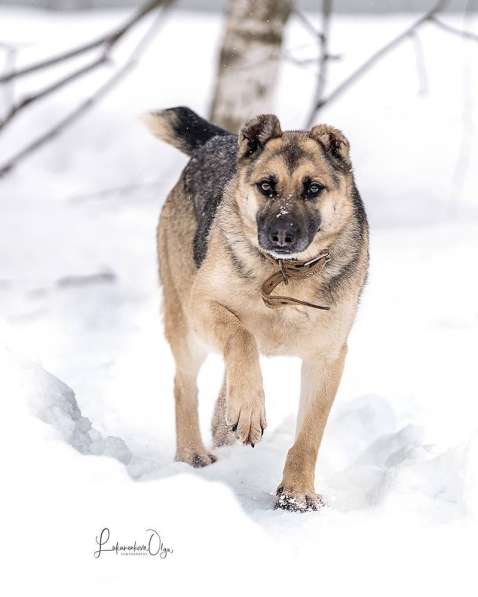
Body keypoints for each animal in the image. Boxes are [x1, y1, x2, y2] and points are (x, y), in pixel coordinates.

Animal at [143, 105, 370, 510]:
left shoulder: (327, 359)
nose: (282, 235)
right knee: (185, 384)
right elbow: (242, 337)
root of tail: (218, 141)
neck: (284, 274)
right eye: (267, 185)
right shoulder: (204, 305)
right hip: (185, 324)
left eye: (313, 188)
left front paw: (297, 494)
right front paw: (248, 409)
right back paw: (192, 453)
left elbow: (309, 436)